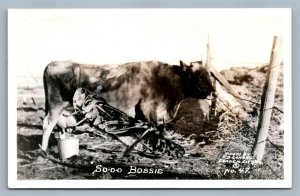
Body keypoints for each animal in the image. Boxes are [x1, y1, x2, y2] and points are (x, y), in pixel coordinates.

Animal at [41, 60, 214, 152]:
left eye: (209, 76)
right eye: (199, 78)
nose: (213, 92)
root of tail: (53, 63)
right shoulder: (148, 109)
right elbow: (153, 129)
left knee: (61, 127)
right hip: (56, 105)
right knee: (47, 125)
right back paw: (43, 150)